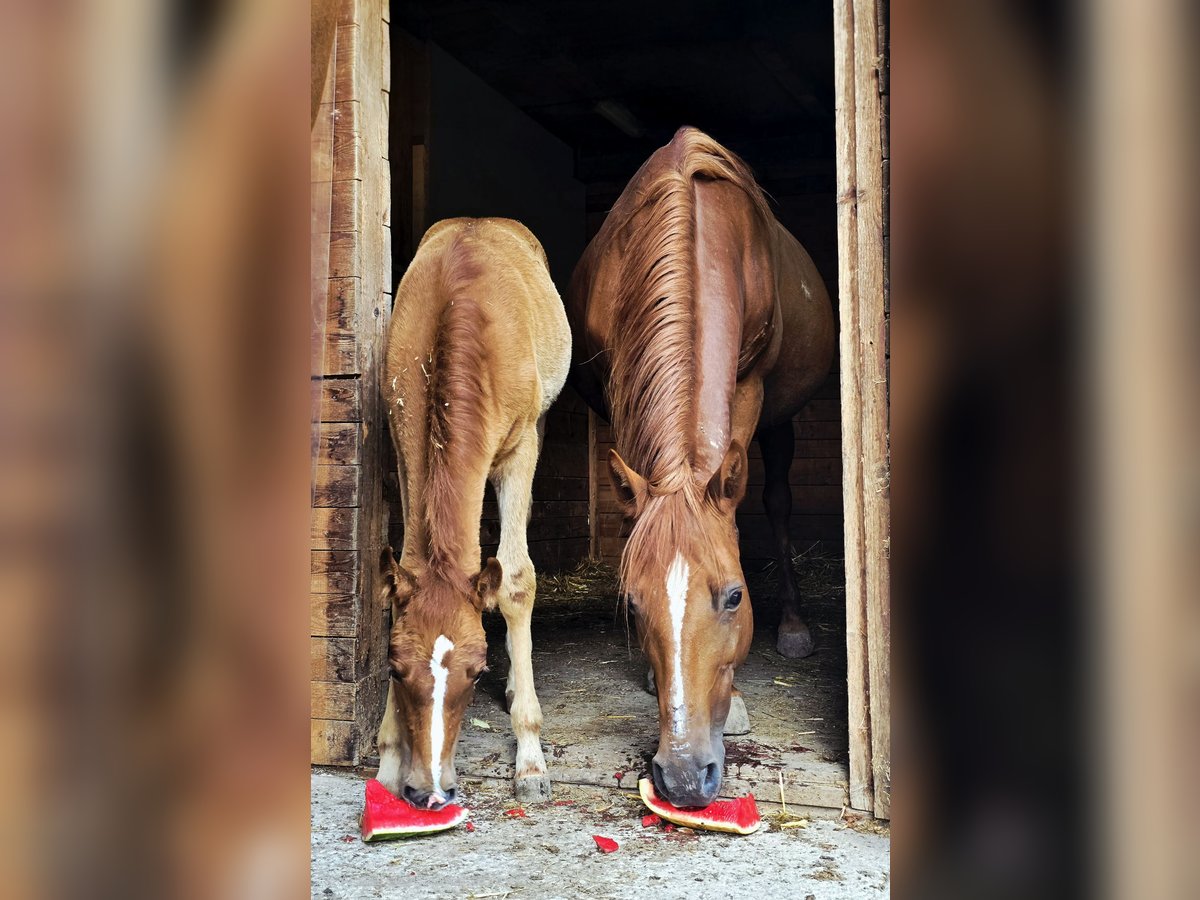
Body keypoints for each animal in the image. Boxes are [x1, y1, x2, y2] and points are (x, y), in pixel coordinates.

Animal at [376, 218, 570, 808]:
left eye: (477, 671)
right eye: (393, 668)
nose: (430, 790)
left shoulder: (520, 446)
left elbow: (516, 581)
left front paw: (530, 759)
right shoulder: (404, 453)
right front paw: (388, 759)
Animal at [565, 127, 835, 806]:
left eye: (735, 595)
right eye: (632, 603)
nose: (684, 775)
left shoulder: (751, 387)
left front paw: (736, 697)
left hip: (780, 420)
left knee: (777, 503)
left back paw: (795, 628)